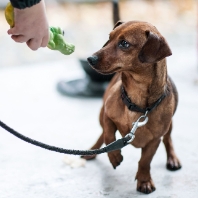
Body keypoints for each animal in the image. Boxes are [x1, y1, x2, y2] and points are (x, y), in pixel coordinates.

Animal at [84, 20, 180, 194]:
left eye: (124, 43)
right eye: (109, 38)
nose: (90, 58)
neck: (137, 104)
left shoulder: (154, 141)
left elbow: (145, 162)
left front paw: (144, 181)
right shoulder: (107, 115)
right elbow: (109, 135)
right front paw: (114, 156)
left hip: (169, 127)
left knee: (168, 140)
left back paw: (173, 159)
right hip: (100, 113)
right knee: (102, 134)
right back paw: (92, 151)